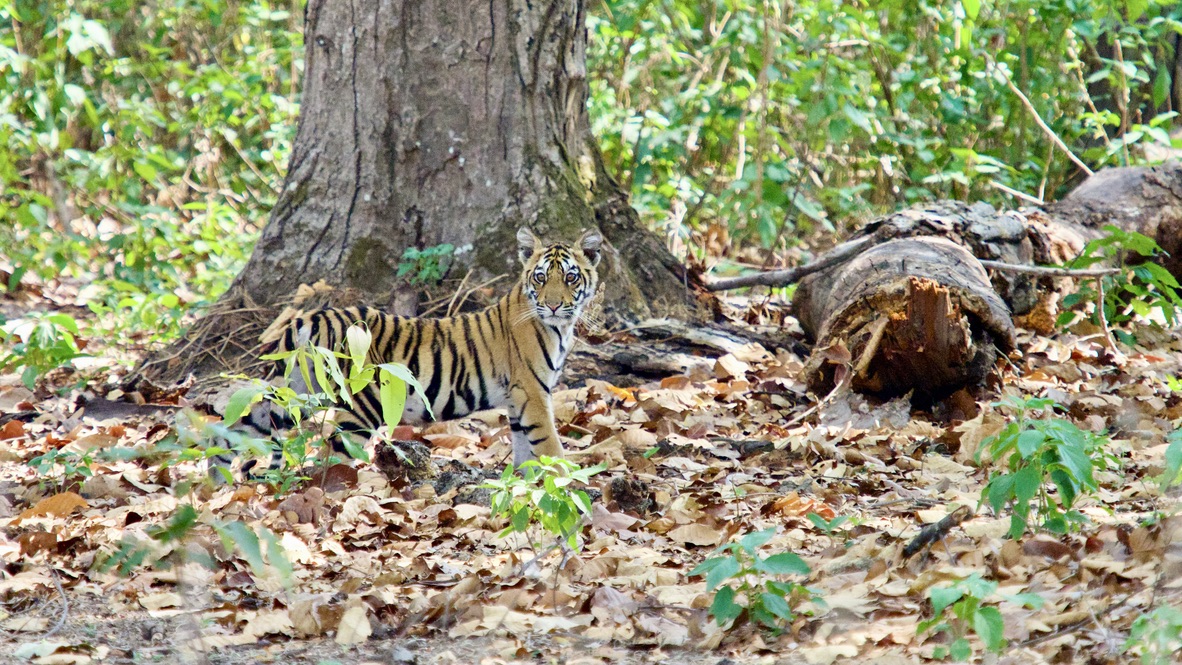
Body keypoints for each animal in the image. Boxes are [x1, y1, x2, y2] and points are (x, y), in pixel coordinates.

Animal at [233, 227, 602, 469]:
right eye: (540, 277)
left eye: (570, 278)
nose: (553, 305)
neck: (559, 326)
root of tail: (314, 316)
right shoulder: (533, 393)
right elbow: (551, 445)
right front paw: (568, 488)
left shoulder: (517, 400)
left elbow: (525, 451)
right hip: (358, 409)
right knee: (330, 461)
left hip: (289, 393)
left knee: (236, 429)